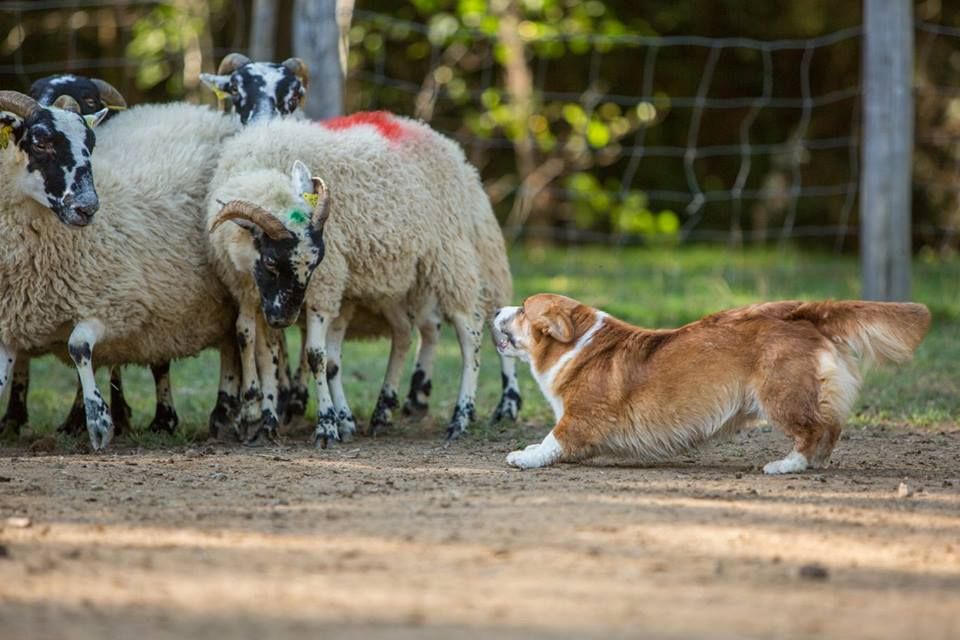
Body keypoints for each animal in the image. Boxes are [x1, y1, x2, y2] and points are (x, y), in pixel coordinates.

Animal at [0, 91, 244, 450]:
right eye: (40, 142)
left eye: (91, 143)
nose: (87, 207)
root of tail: (203, 111)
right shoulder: (11, 320)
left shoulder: (117, 306)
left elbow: (78, 346)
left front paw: (99, 423)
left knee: (232, 345)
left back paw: (224, 413)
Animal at [496, 294, 928, 470]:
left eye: (522, 309)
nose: (495, 307)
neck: (577, 343)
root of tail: (803, 313)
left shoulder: (579, 420)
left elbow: (553, 440)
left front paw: (525, 457)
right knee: (830, 428)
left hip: (779, 396)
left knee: (813, 430)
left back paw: (787, 465)